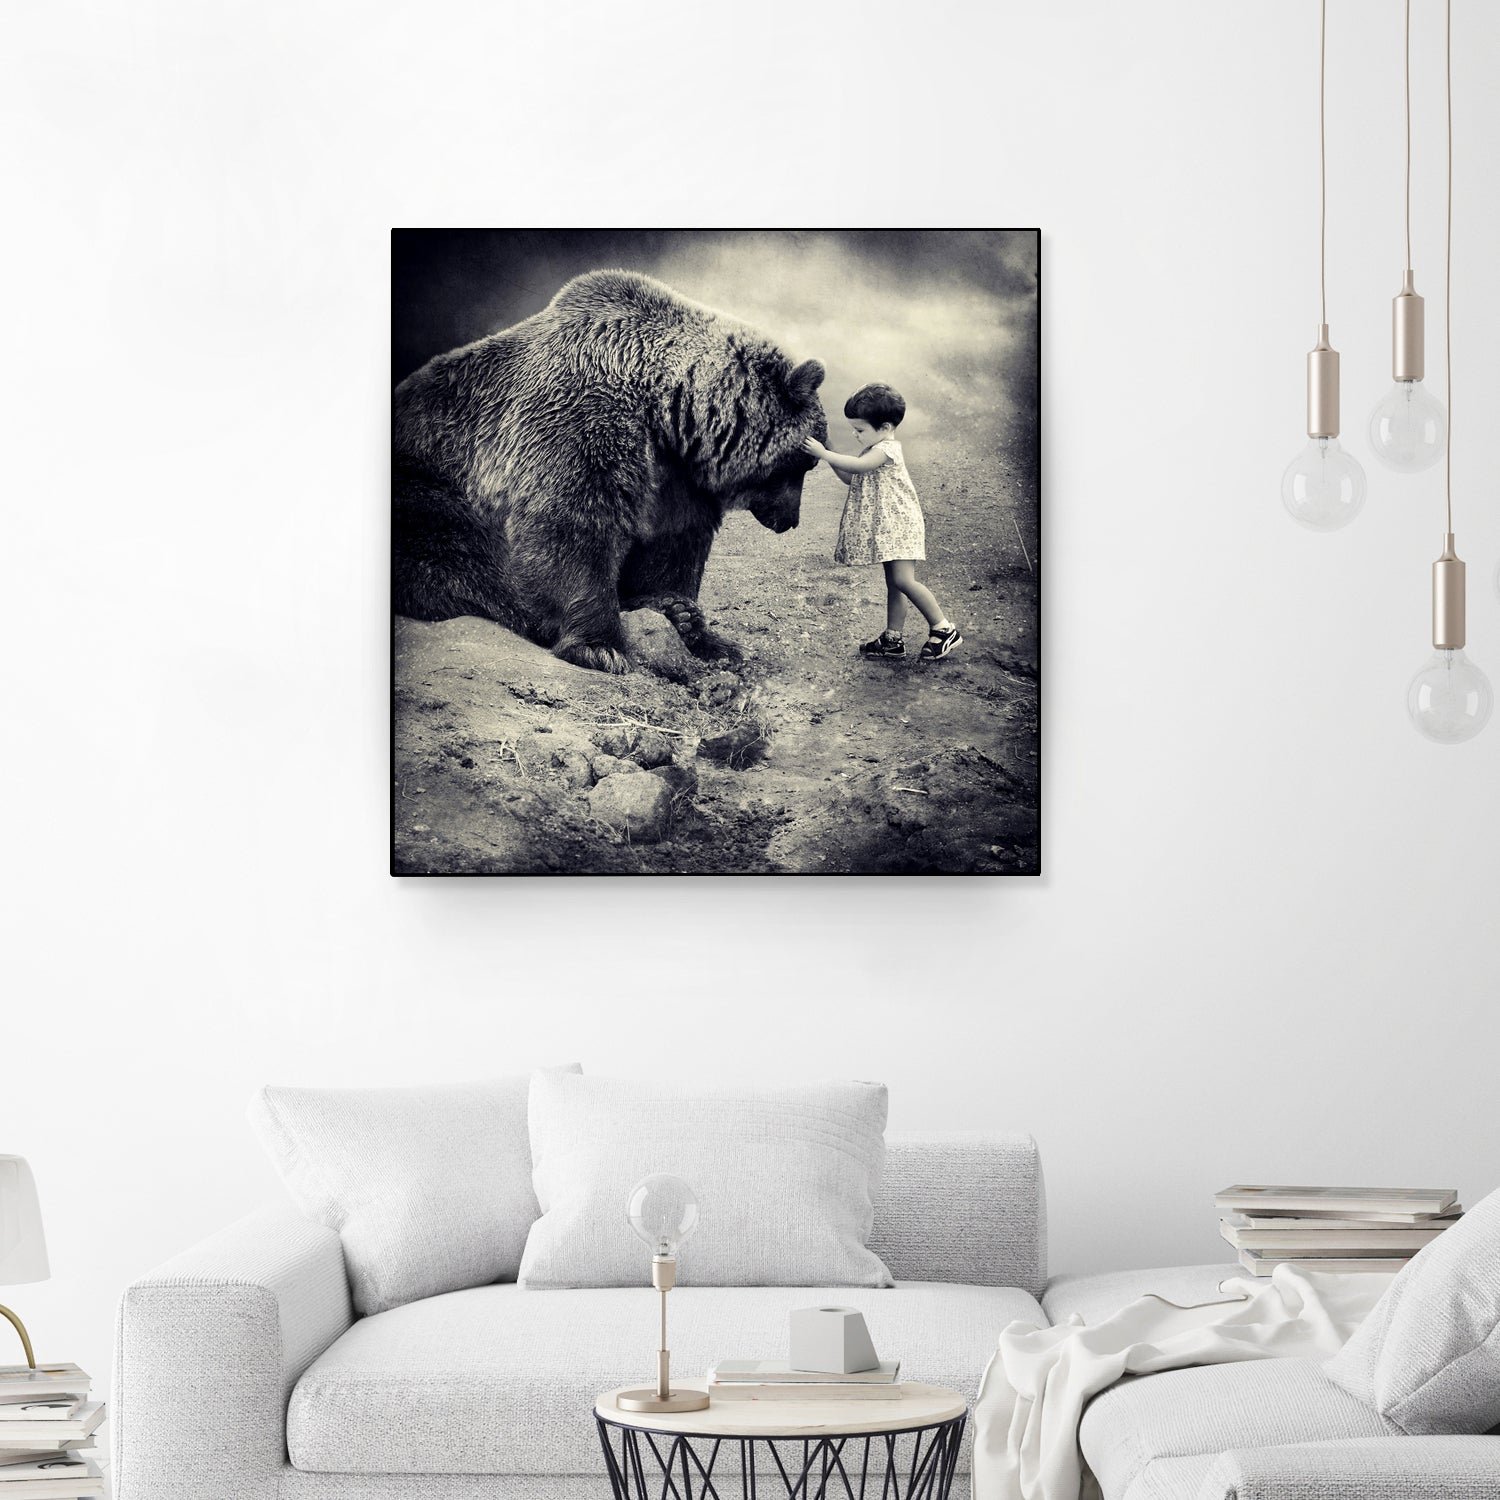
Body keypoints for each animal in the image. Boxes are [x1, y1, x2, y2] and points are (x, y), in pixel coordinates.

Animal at [393, 269, 828, 673]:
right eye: (806, 463)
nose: (790, 520)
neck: (665, 407)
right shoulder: (579, 418)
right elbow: (574, 525)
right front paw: (602, 647)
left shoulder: (675, 475)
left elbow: (674, 545)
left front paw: (695, 626)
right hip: (433, 481)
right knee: (461, 557)